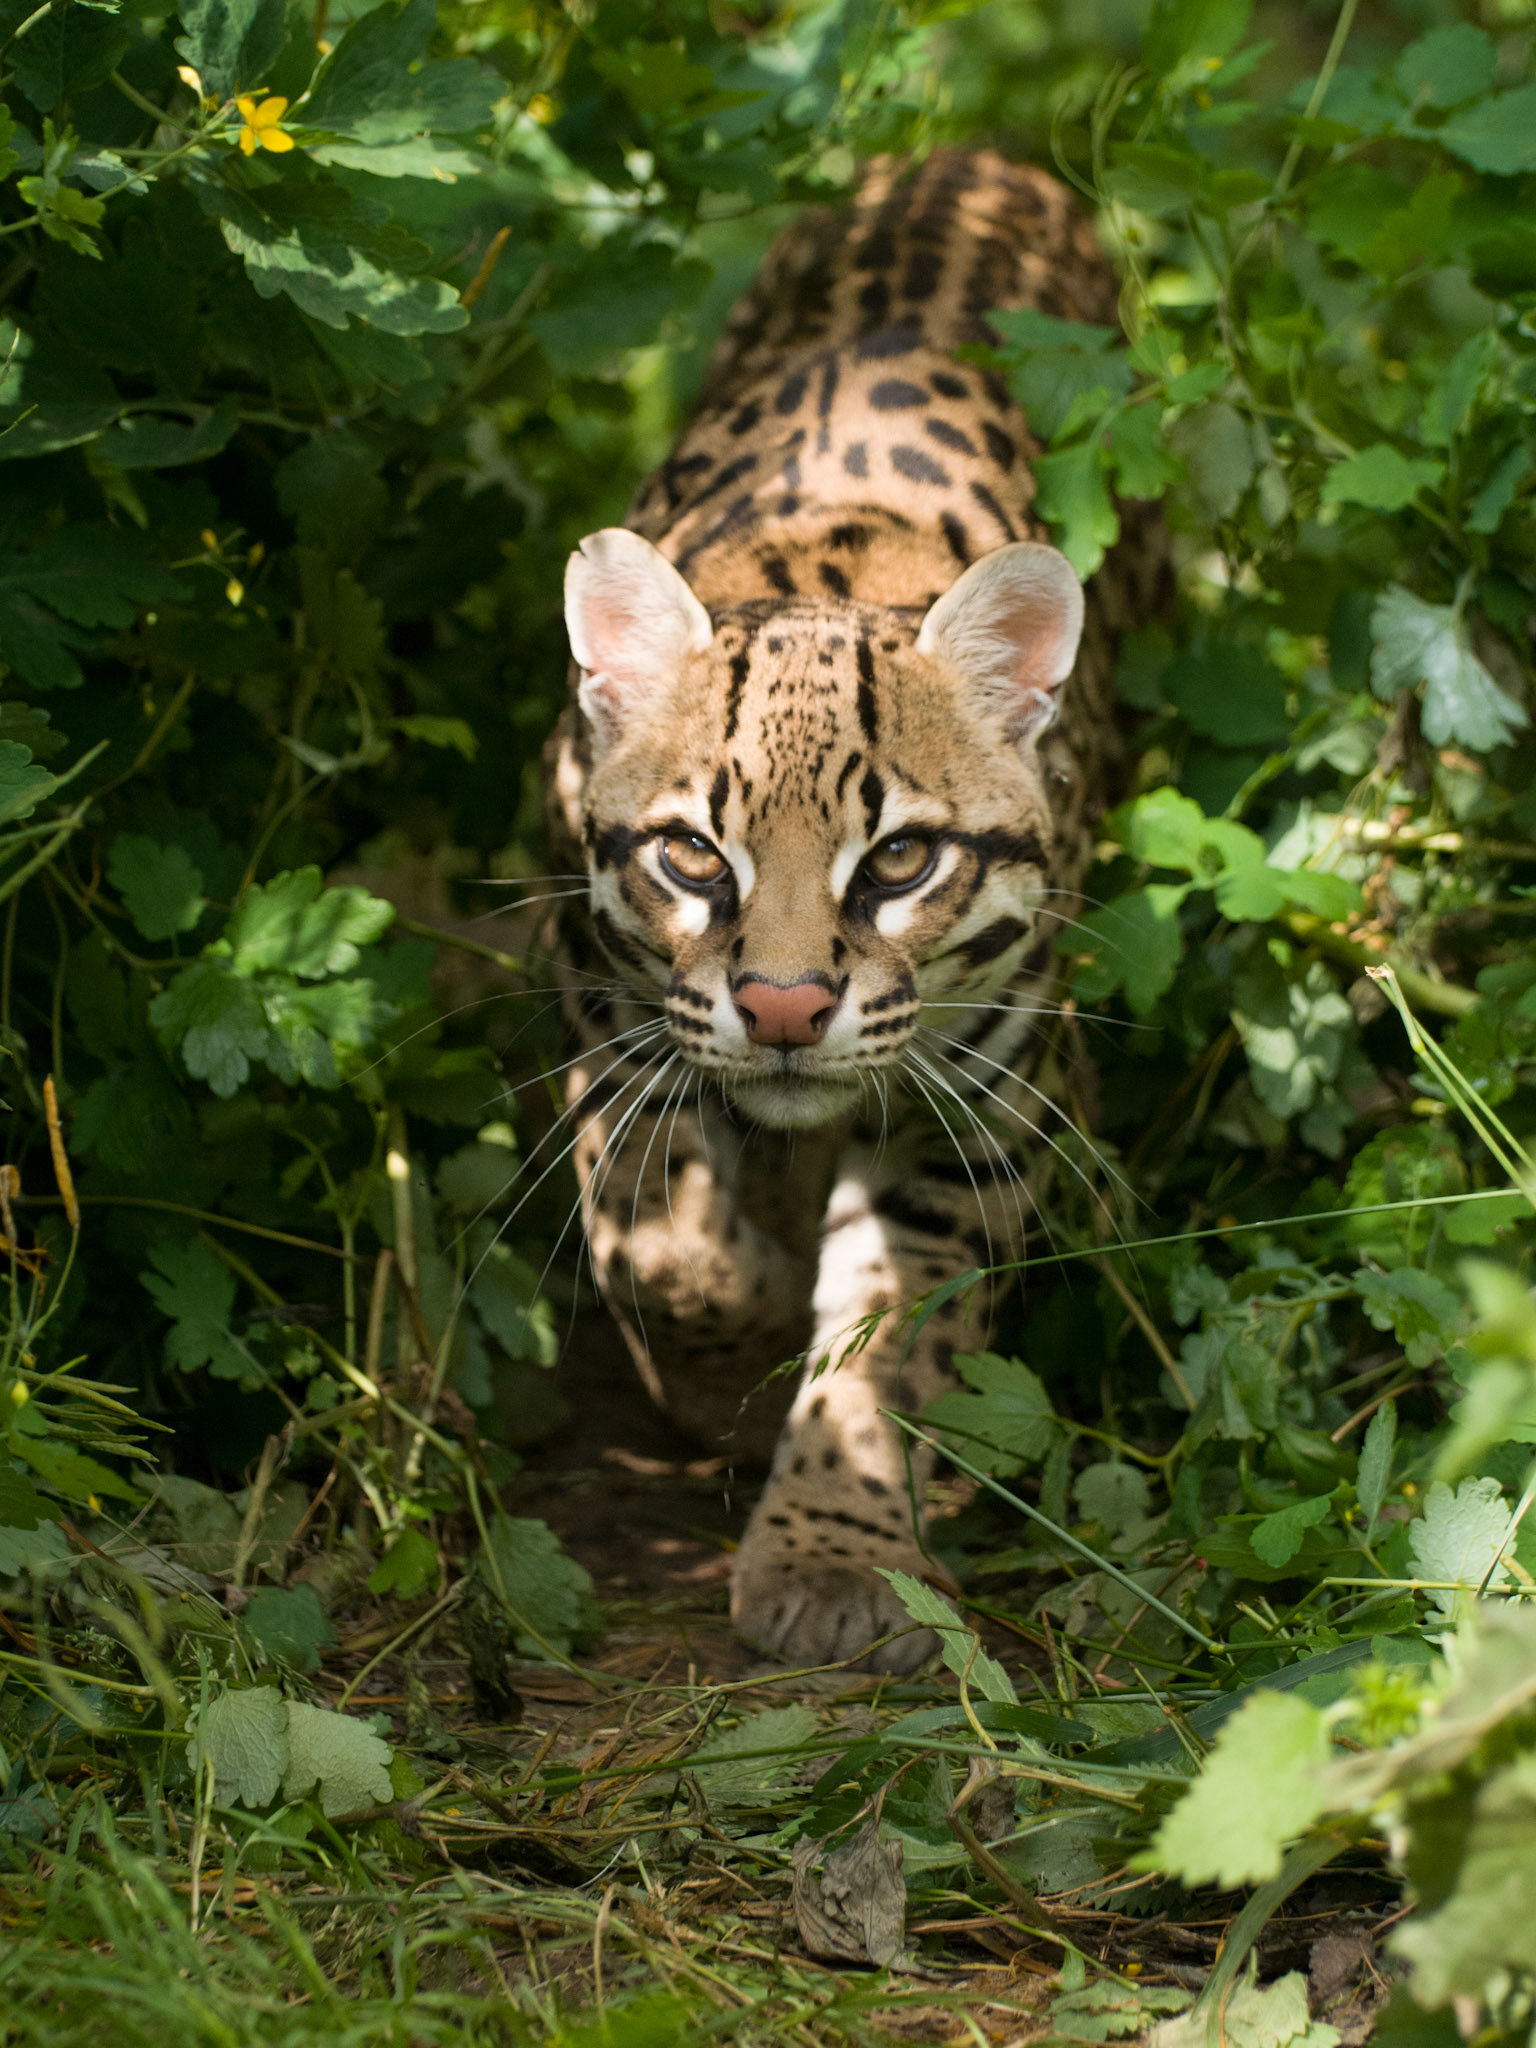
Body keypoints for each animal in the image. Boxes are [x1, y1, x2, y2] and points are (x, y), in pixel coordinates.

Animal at [542, 148, 1168, 1673]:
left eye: (897, 864)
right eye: (692, 855)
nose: (782, 1008)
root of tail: (978, 153)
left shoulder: (988, 1112)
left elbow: (894, 1342)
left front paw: (834, 1550)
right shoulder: (601, 1008)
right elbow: (658, 1244)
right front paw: (738, 1344)